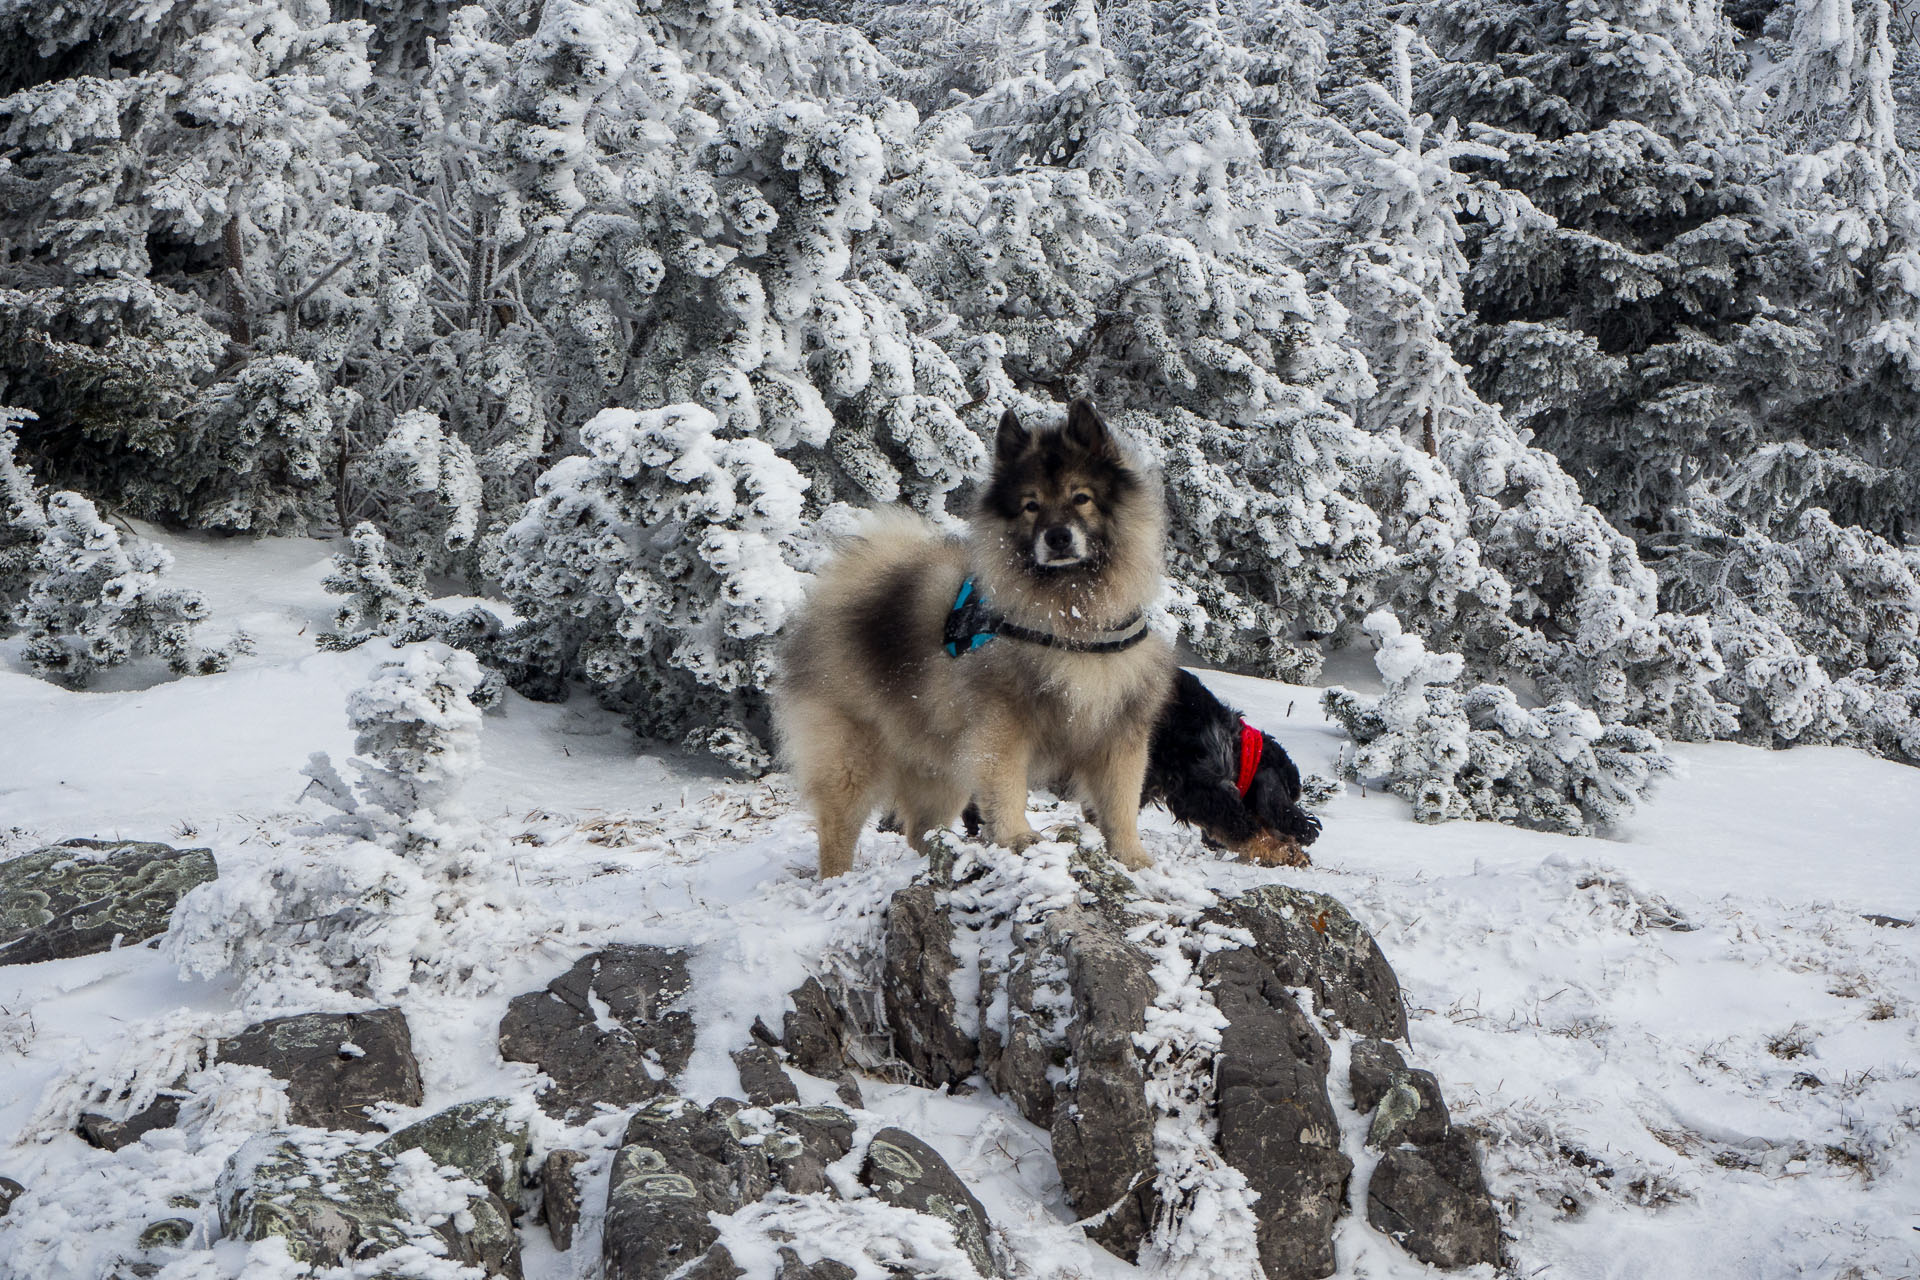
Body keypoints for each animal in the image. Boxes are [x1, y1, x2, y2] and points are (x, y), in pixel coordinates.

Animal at [775, 401, 1167, 882]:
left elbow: (1120, 804)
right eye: (1031, 506)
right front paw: (1017, 836)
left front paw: (1132, 858)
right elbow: (1008, 786)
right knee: (838, 828)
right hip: (851, 757)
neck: (1072, 619)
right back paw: (839, 880)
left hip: (938, 767)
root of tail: (841, 590)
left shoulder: (1119, 730)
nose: (1057, 537)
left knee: (920, 830)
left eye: (1081, 497)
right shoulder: (1002, 723)